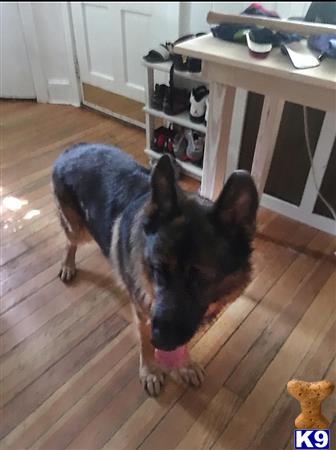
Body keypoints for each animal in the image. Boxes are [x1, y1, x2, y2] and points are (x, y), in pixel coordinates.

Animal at [52, 143, 258, 394]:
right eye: (158, 268)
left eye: (200, 277)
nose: (160, 341)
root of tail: (74, 148)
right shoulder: (144, 314)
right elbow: (143, 342)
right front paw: (150, 370)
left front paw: (185, 364)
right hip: (78, 229)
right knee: (70, 241)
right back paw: (67, 264)